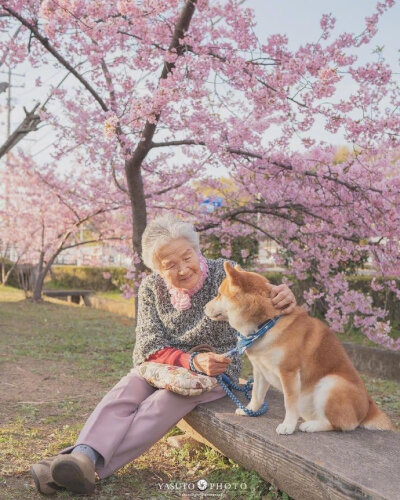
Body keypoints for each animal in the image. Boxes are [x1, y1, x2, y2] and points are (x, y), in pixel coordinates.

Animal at [205, 262, 392, 434]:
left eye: (219, 294)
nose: (204, 307)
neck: (266, 324)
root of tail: (369, 408)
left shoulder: (289, 372)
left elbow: (289, 402)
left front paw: (288, 425)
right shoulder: (260, 369)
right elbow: (257, 395)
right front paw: (250, 410)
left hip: (331, 383)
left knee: (337, 424)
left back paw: (311, 425)